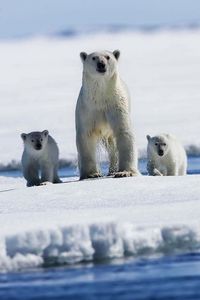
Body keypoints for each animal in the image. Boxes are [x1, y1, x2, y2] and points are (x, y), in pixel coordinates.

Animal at [75, 50, 139, 179]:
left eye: (108, 57)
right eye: (94, 58)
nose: (101, 64)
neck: (101, 98)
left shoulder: (116, 105)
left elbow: (124, 132)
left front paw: (125, 172)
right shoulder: (87, 110)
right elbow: (85, 136)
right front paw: (92, 174)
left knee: (113, 147)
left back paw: (113, 170)